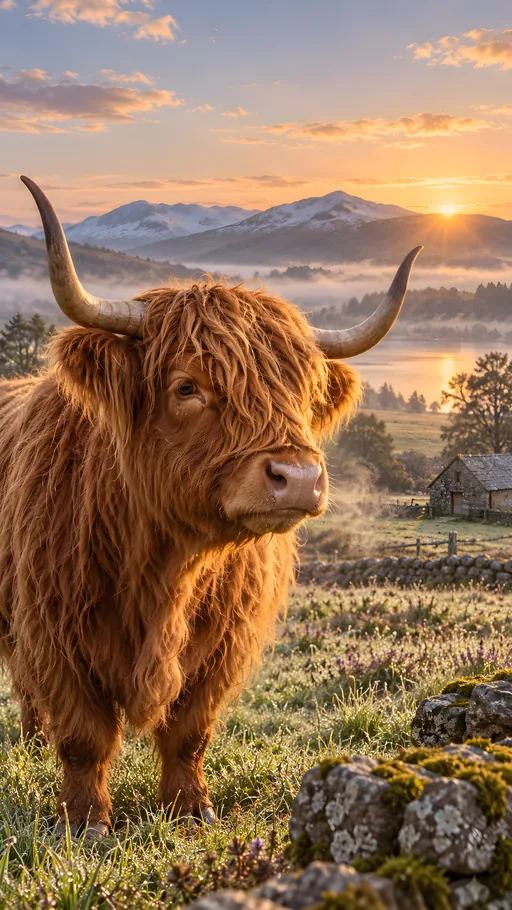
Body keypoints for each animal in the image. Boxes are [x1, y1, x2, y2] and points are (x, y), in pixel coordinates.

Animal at [0, 176, 421, 837]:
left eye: (303, 392)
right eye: (187, 387)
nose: (298, 478)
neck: (164, 567)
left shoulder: (223, 642)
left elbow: (189, 731)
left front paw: (191, 809)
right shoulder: (55, 631)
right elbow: (84, 737)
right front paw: (86, 821)